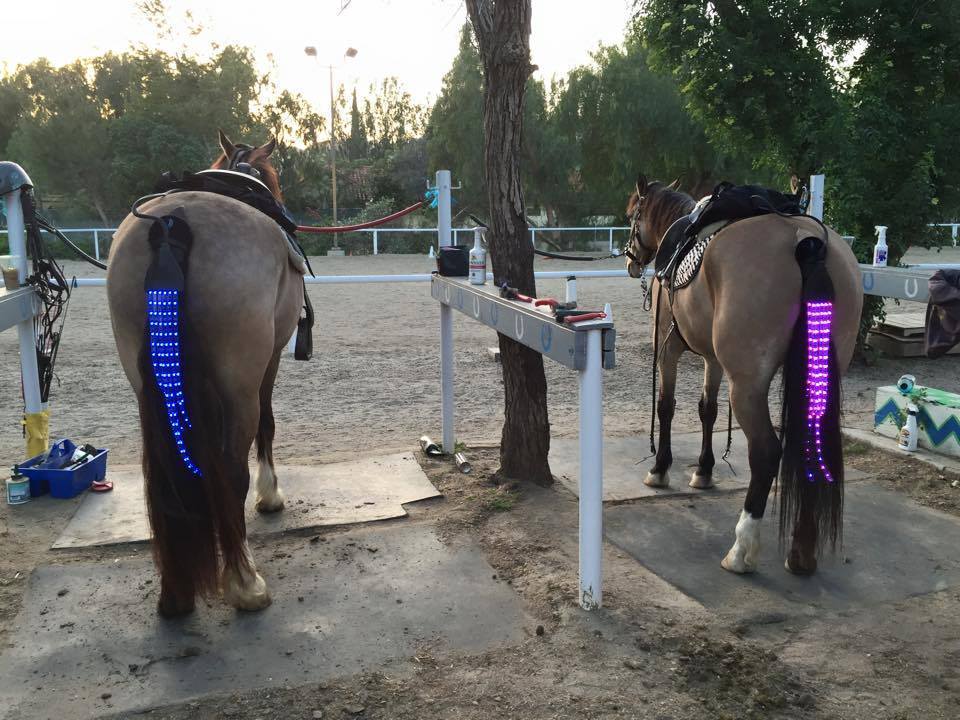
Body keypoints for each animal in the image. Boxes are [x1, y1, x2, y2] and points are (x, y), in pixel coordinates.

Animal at [106, 131, 304, 616]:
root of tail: (172, 224)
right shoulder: (269, 361)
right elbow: (268, 425)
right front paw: (270, 495)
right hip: (239, 386)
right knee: (232, 470)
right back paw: (245, 582)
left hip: (147, 385)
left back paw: (176, 593)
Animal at [624, 176, 863, 575]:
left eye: (632, 216)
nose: (629, 259)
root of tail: (805, 240)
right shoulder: (713, 359)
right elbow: (708, 410)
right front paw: (704, 471)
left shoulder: (667, 350)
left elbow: (667, 407)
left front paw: (660, 469)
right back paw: (801, 553)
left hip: (748, 386)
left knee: (766, 452)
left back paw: (741, 549)